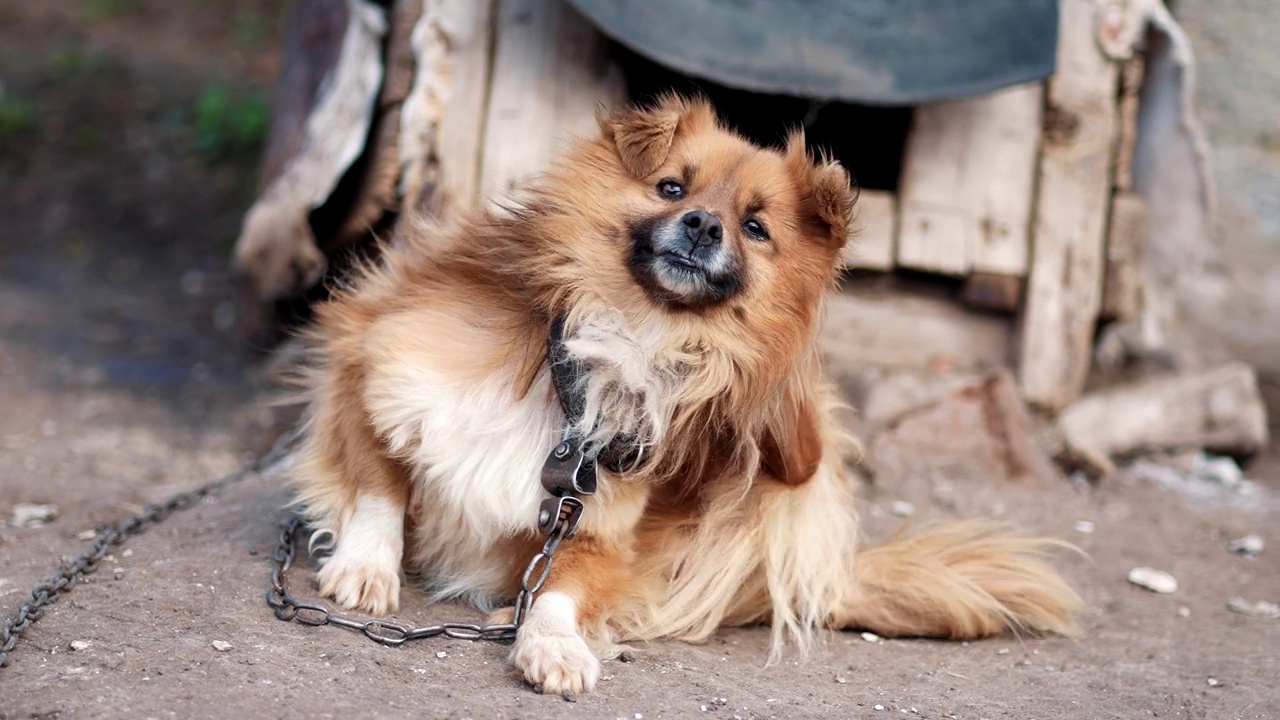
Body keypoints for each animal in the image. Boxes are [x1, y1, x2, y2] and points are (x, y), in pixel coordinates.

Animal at [288, 92, 1080, 691]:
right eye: (672, 187)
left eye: (755, 227)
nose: (702, 225)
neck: (634, 334)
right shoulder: (372, 364)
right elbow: (380, 484)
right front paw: (364, 566)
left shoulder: (595, 528)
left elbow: (561, 591)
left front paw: (553, 642)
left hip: (796, 457)